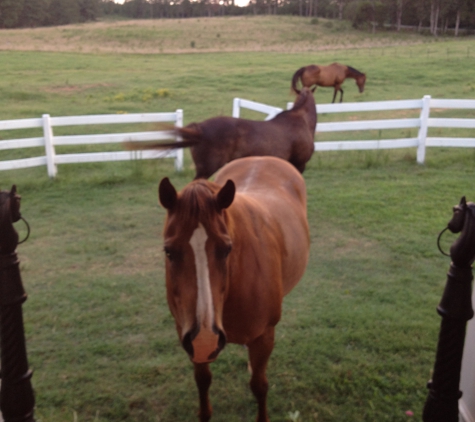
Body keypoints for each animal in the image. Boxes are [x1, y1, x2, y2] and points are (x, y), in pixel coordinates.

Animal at [158, 156, 310, 422]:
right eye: (168, 251)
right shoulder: (187, 335)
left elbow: (259, 385)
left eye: (227, 248)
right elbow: (202, 380)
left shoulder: (264, 335)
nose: (205, 339)